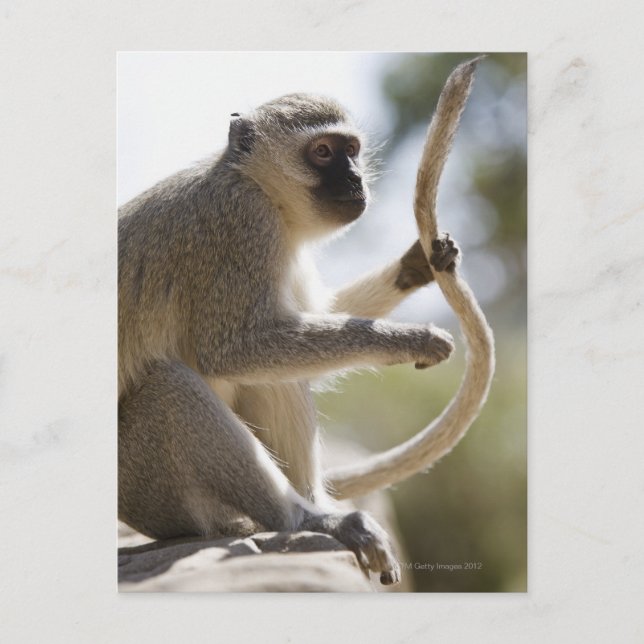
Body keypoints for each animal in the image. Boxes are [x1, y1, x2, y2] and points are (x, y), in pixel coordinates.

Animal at [118, 93, 460, 586]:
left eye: (351, 150)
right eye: (322, 152)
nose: (355, 178)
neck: (256, 185)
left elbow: (311, 320)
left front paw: (415, 265)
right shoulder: (242, 225)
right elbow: (233, 350)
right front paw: (407, 339)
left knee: (276, 375)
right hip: (151, 490)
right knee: (171, 388)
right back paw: (309, 518)